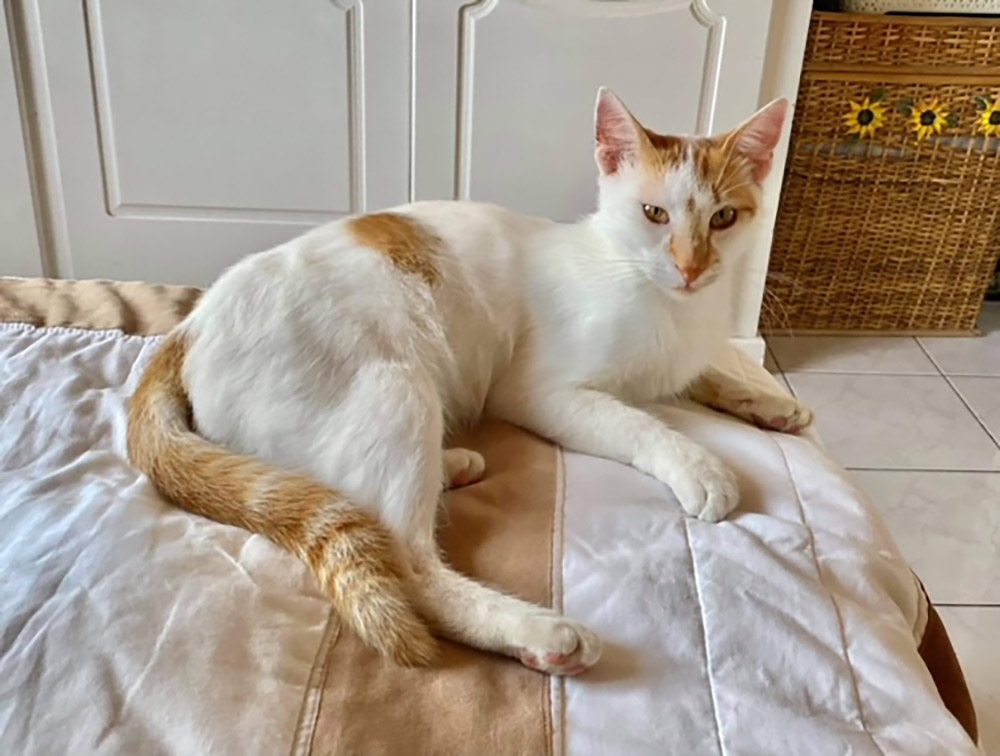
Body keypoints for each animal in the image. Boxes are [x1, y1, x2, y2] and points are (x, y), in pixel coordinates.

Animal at [127, 88, 813, 676]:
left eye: (724, 218)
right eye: (654, 214)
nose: (692, 267)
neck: (667, 306)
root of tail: (188, 327)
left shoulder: (676, 361)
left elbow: (705, 374)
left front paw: (771, 402)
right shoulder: (539, 393)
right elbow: (638, 421)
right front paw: (700, 465)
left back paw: (452, 464)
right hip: (396, 386)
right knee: (408, 565)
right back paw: (539, 632)